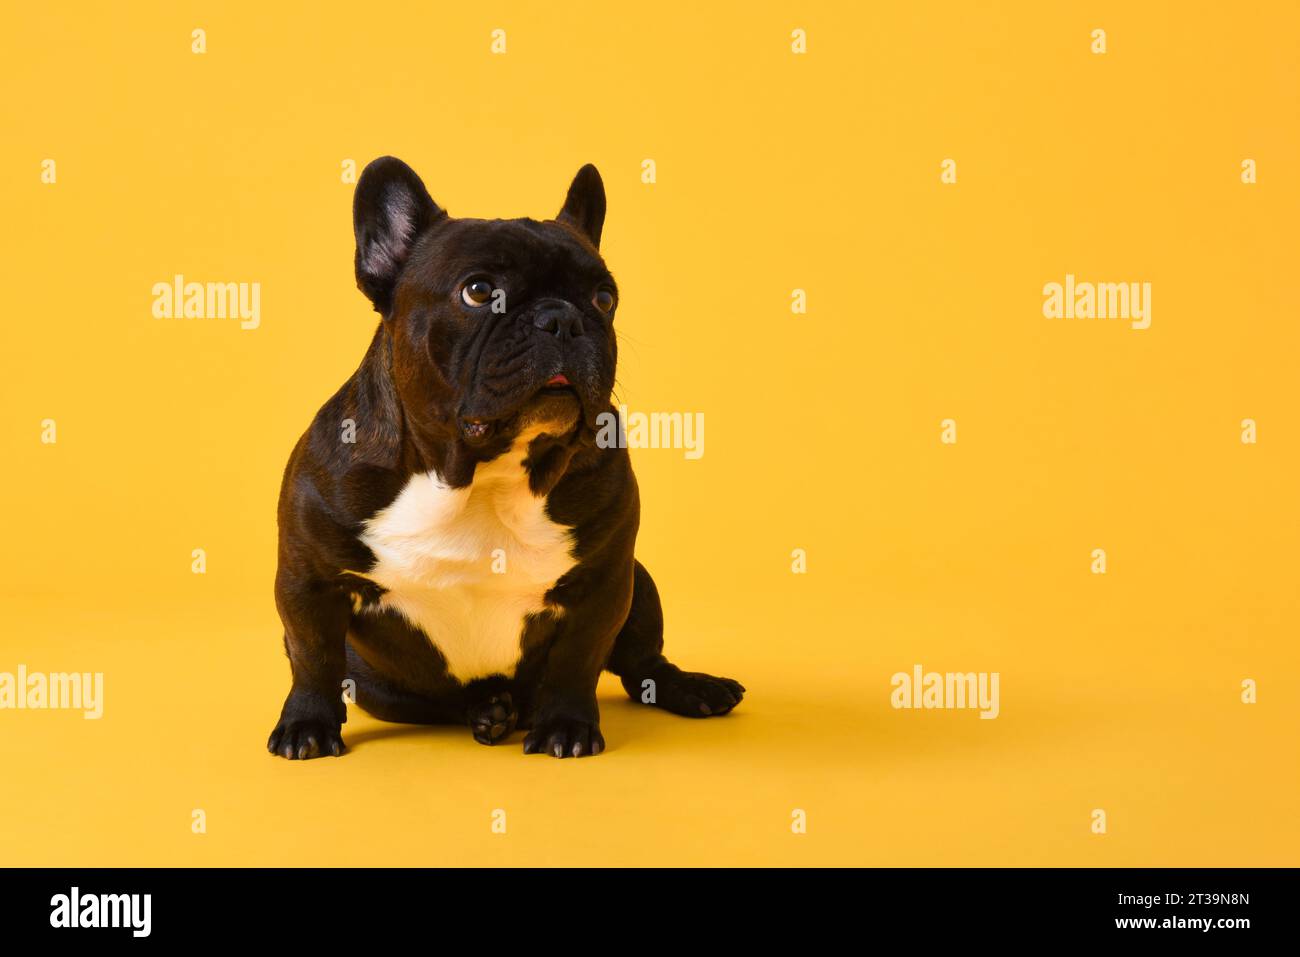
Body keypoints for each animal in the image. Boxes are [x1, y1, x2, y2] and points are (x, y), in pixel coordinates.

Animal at [266, 157, 743, 759]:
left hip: (642, 585)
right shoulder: (308, 579)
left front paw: (565, 726)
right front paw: (306, 725)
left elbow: (578, 658)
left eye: (604, 299)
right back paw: (490, 711)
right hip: (386, 687)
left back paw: (688, 688)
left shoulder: (604, 581)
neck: (475, 474)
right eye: (477, 291)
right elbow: (312, 656)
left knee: (643, 667)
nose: (562, 318)